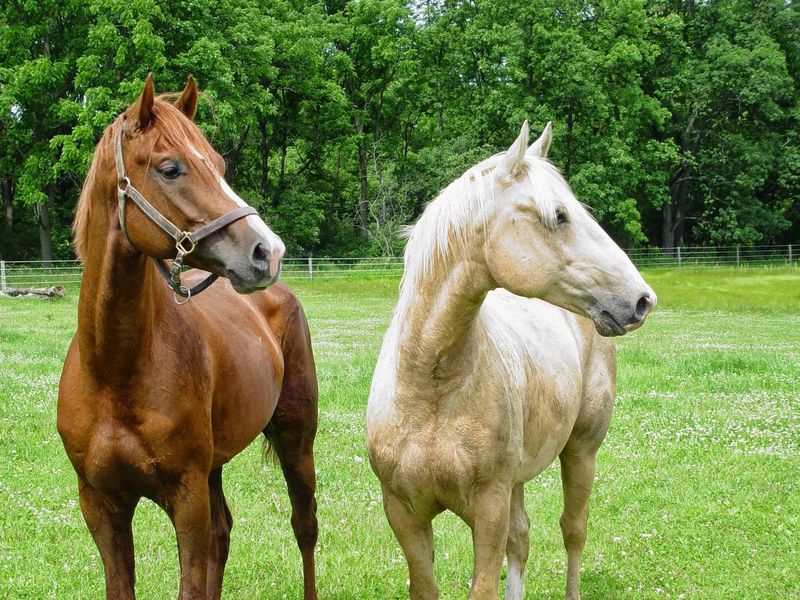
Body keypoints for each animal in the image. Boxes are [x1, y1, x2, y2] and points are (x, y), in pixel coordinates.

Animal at [57, 75, 319, 600]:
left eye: (218, 165)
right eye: (171, 168)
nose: (268, 251)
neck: (114, 370)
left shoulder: (186, 495)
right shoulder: (101, 505)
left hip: (296, 440)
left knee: (305, 528)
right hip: (216, 466)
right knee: (224, 533)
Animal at [366, 121, 656, 600]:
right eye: (559, 215)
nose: (641, 300)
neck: (430, 388)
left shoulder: (489, 510)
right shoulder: (404, 514)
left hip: (581, 451)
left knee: (573, 531)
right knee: (522, 541)